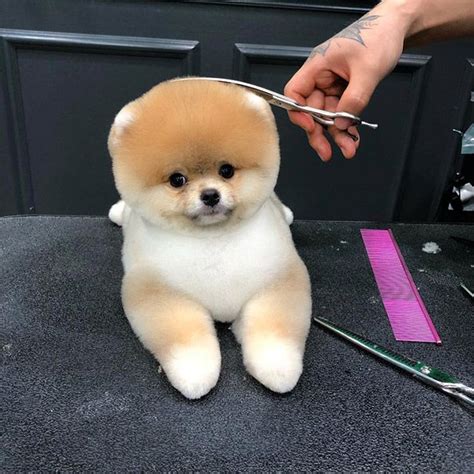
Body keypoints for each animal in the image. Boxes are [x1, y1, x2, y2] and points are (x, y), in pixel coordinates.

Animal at [109, 78, 312, 400]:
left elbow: (275, 327)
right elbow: (185, 337)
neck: (213, 241)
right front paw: (195, 372)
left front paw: (277, 367)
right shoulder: (159, 291)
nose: (210, 195)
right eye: (177, 180)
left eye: (226, 170)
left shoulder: (276, 278)